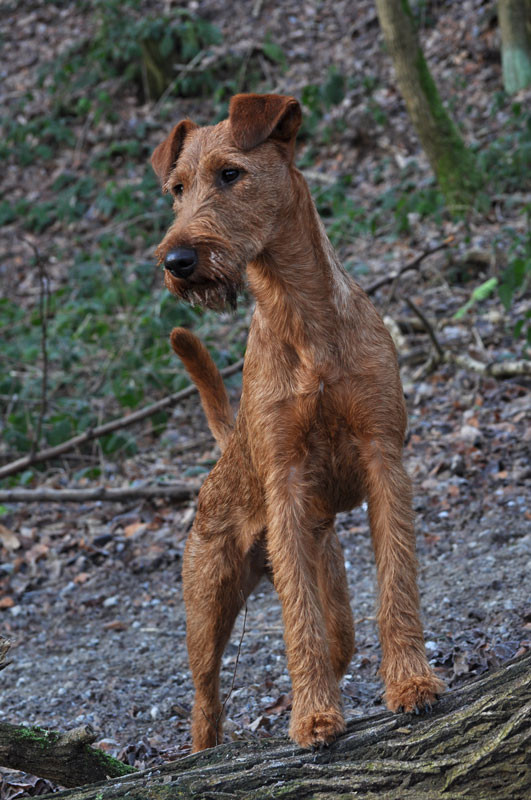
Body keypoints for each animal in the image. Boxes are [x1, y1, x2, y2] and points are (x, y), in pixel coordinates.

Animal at [151, 94, 444, 752]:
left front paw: (411, 683)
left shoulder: (385, 458)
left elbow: (398, 583)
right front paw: (312, 718)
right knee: (205, 699)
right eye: (177, 188)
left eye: (230, 173)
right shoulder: (284, 482)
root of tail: (225, 453)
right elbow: (297, 620)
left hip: (324, 558)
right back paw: (205, 751)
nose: (178, 260)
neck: (302, 320)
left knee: (339, 638)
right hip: (207, 601)